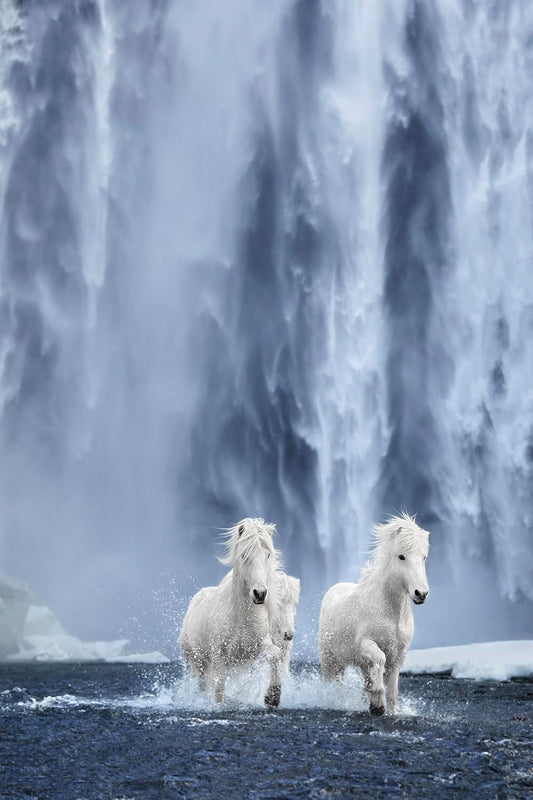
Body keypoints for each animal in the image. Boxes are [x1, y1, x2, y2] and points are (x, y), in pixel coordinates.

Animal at [179, 518, 284, 707]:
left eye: (267, 555)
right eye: (244, 555)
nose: (260, 593)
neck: (240, 617)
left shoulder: (256, 646)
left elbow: (274, 654)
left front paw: (273, 697)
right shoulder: (218, 655)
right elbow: (219, 688)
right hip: (197, 661)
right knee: (201, 683)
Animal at [318, 513, 429, 716]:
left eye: (424, 557)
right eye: (401, 556)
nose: (421, 593)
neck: (390, 612)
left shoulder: (398, 655)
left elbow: (392, 688)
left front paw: (386, 708)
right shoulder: (365, 644)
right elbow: (380, 659)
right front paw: (377, 702)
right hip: (330, 660)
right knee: (333, 682)